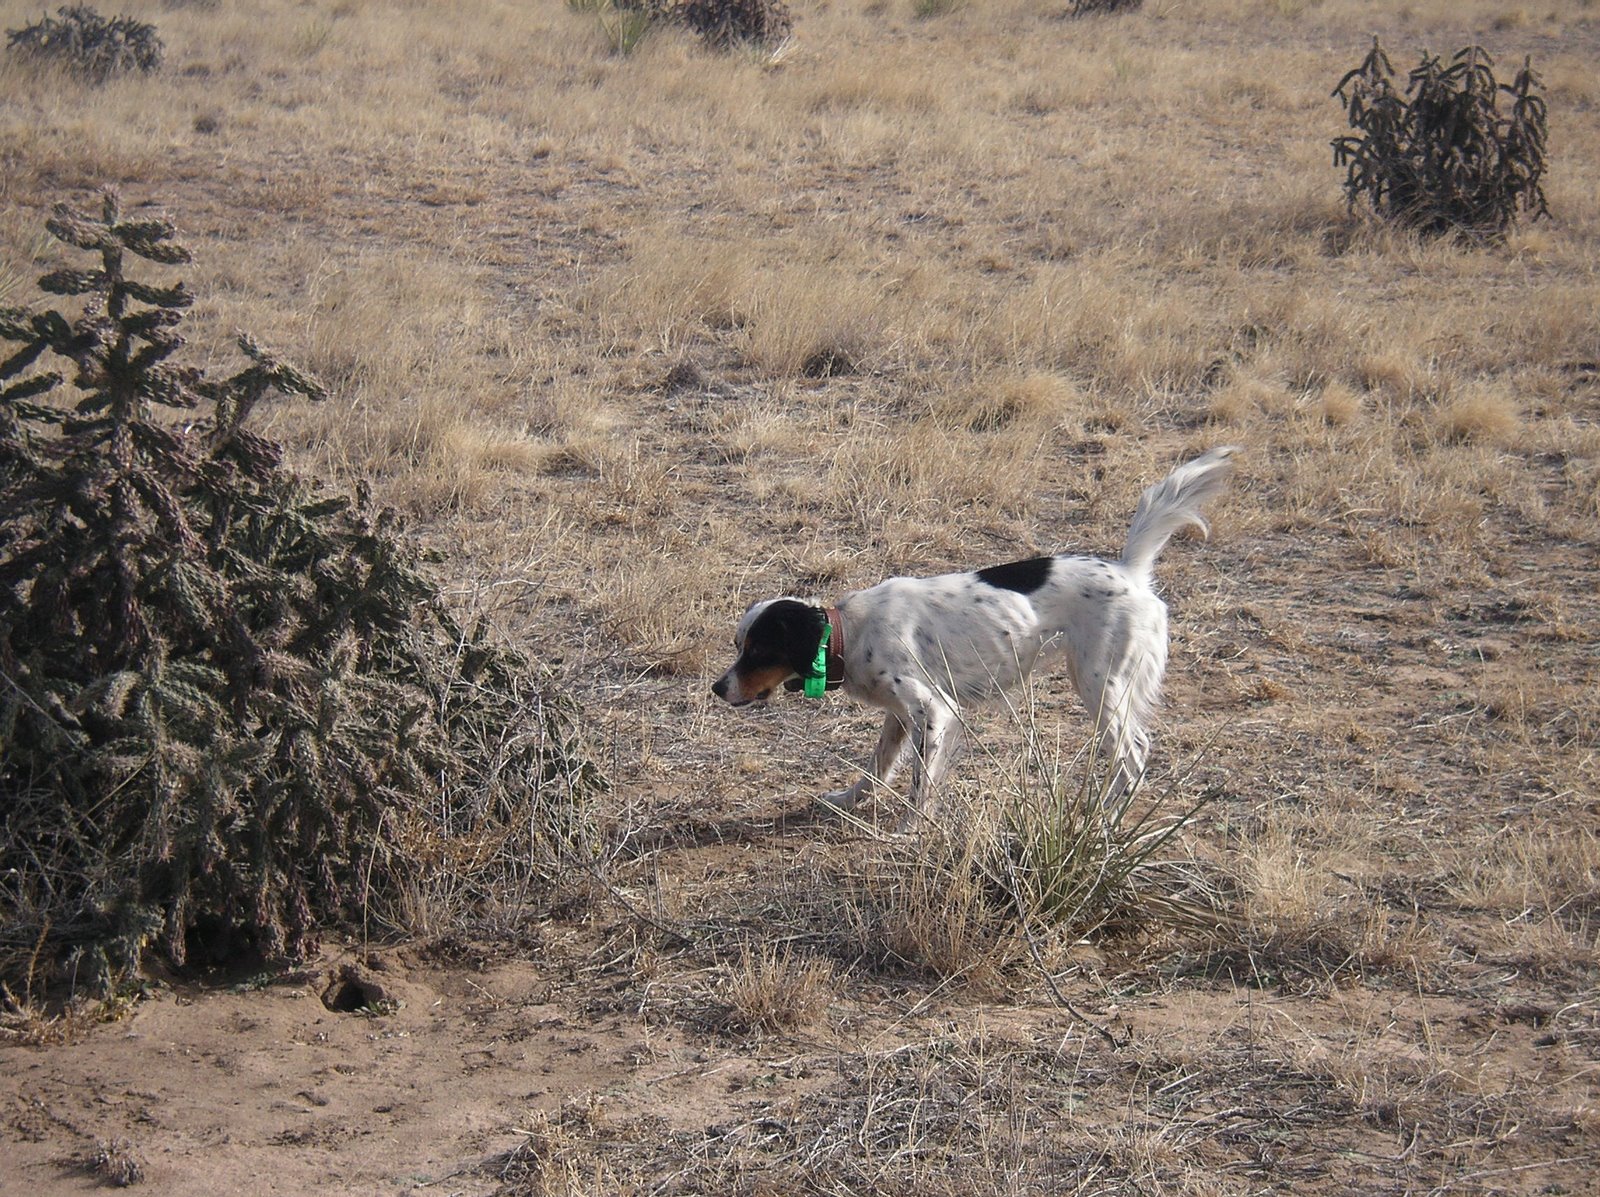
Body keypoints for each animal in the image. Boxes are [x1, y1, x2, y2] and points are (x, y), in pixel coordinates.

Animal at [711, 445, 1239, 820]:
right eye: (739, 647)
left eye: (757, 651)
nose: (717, 688)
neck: (850, 632)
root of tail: (1130, 572)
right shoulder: (900, 715)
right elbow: (878, 766)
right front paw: (849, 798)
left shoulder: (934, 709)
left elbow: (920, 783)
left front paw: (910, 830)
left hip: (1100, 682)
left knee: (1133, 755)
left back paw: (1104, 820)